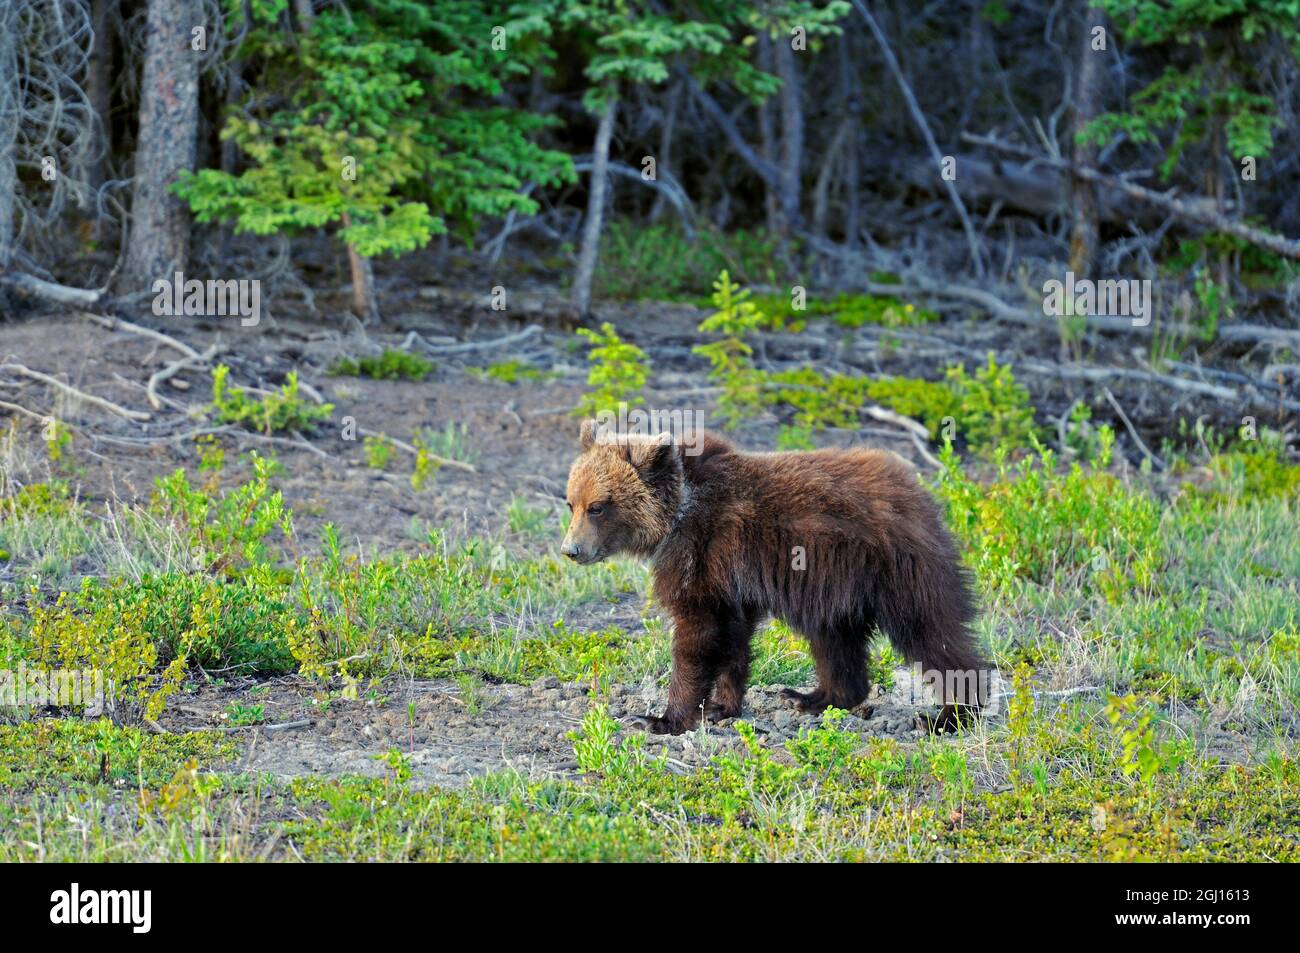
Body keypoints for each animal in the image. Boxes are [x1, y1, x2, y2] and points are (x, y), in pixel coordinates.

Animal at [561, 419, 988, 735]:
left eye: (598, 506)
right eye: (572, 503)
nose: (571, 550)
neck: (678, 512)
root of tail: (921, 493)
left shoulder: (701, 552)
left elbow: (697, 634)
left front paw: (661, 718)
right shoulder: (729, 579)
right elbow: (732, 636)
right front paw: (721, 706)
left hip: (896, 568)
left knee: (929, 630)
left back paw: (951, 715)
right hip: (837, 589)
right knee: (834, 640)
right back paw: (810, 697)